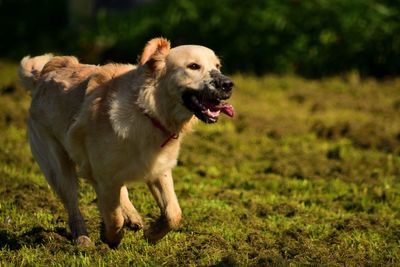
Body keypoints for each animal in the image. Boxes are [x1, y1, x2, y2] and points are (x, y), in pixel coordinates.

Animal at [19, 38, 234, 249]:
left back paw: (132, 216)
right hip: (57, 166)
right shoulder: (105, 176)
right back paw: (82, 238)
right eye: (194, 66)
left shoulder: (158, 169)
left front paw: (152, 234)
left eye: (217, 66)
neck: (147, 111)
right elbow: (114, 217)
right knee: (73, 204)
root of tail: (43, 76)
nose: (228, 84)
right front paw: (110, 237)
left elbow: (173, 213)